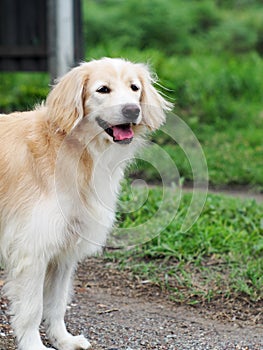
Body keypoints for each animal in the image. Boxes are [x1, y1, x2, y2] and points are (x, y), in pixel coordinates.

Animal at [0, 58, 172, 350]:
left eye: (134, 88)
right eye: (103, 89)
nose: (132, 110)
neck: (72, 149)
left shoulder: (64, 251)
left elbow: (57, 303)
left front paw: (62, 339)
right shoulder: (33, 248)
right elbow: (33, 309)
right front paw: (34, 345)